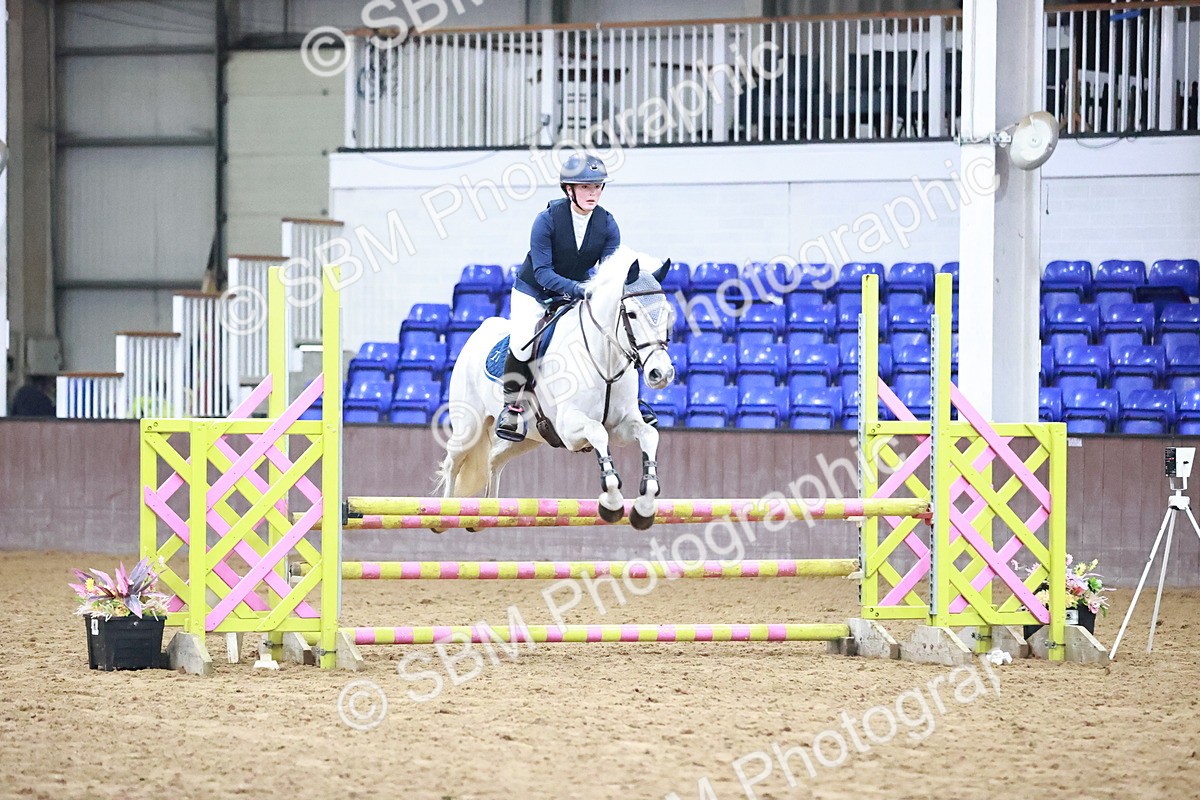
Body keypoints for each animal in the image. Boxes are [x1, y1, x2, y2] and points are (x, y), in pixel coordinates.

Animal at [436, 246, 676, 530]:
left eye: (667, 313)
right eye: (631, 314)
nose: (661, 374)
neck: (604, 360)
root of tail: (479, 332)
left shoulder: (622, 426)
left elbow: (649, 434)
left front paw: (644, 507)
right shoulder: (570, 427)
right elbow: (597, 432)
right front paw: (612, 502)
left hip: (529, 437)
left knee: (494, 458)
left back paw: (489, 512)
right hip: (469, 426)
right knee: (453, 462)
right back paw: (445, 514)